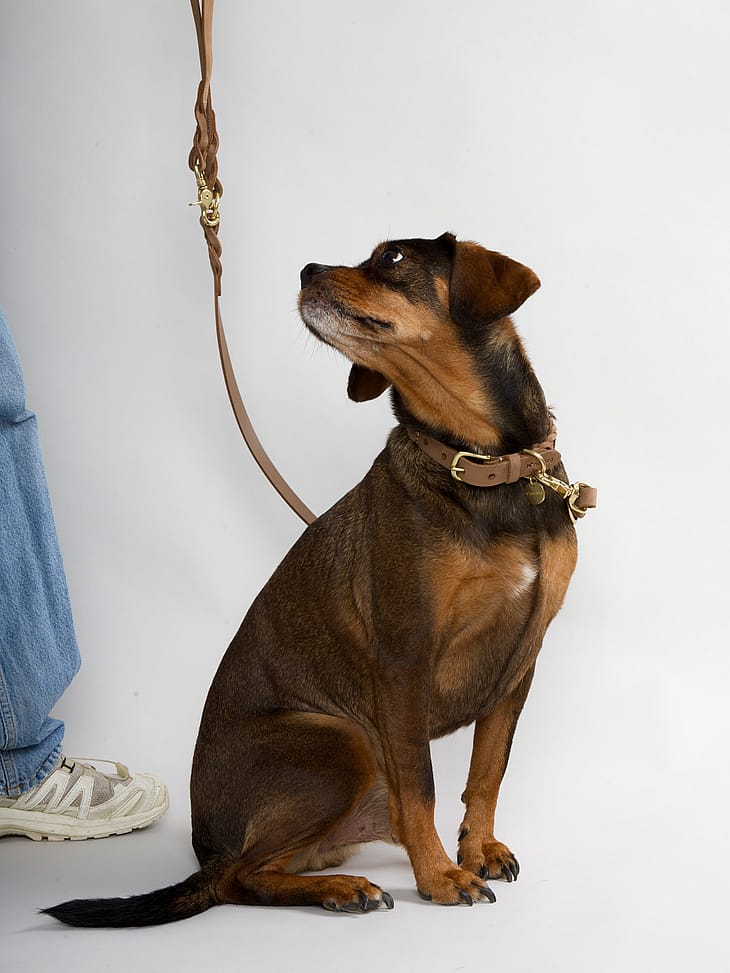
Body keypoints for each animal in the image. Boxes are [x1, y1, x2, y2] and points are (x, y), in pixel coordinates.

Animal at [44, 232, 593, 926]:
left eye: (391, 259)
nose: (306, 270)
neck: (482, 463)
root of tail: (207, 848)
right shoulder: (405, 659)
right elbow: (423, 785)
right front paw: (441, 876)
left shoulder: (520, 659)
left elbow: (487, 771)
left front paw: (477, 850)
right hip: (343, 739)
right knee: (240, 882)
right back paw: (343, 889)